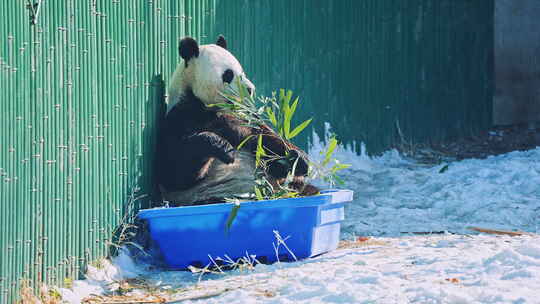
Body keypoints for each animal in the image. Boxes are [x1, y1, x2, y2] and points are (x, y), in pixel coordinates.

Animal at [155, 36, 316, 207]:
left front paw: (297, 158)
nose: (250, 89)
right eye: (228, 74)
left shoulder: (244, 116)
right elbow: (175, 171)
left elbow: (264, 138)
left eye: (242, 72)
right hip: (213, 195)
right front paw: (224, 147)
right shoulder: (182, 114)